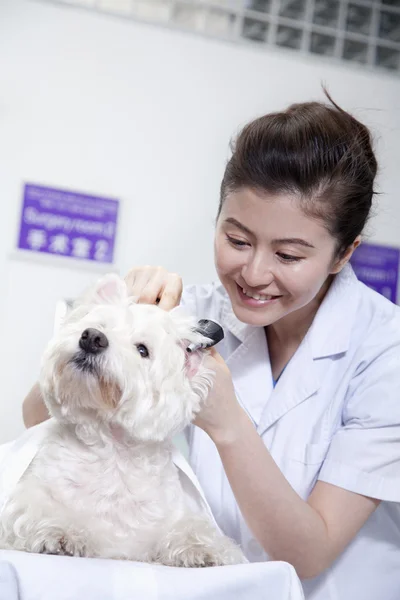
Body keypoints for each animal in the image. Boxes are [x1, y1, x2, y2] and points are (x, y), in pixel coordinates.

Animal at [0, 276, 244, 568]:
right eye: (98, 326)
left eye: (142, 350)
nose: (92, 337)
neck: (112, 453)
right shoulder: (25, 499)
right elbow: (39, 510)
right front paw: (62, 533)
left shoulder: (163, 519)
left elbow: (192, 527)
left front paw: (201, 549)